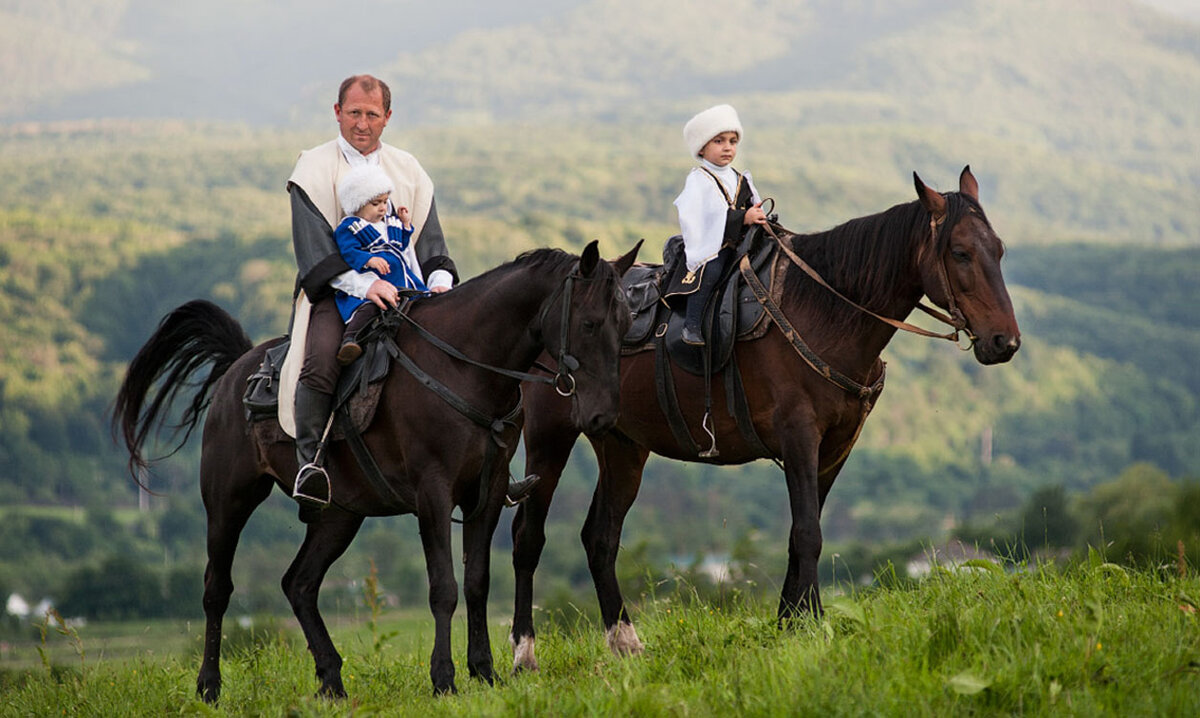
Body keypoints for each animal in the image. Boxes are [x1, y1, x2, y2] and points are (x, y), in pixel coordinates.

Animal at [112, 238, 638, 701]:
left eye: (626, 322)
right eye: (591, 324)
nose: (602, 417)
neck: (462, 366)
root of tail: (237, 370)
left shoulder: (485, 495)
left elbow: (476, 583)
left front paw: (485, 673)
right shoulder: (433, 494)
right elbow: (443, 588)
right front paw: (443, 679)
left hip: (338, 516)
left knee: (299, 584)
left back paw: (331, 680)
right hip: (229, 502)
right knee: (216, 590)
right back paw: (209, 687)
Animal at [506, 166, 1022, 667]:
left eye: (999, 250)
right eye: (959, 252)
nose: (1005, 342)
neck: (824, 310)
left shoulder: (834, 449)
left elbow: (802, 533)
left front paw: (790, 622)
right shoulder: (799, 437)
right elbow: (809, 532)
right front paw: (810, 626)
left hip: (621, 445)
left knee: (600, 537)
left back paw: (624, 643)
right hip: (550, 436)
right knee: (528, 537)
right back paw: (523, 652)